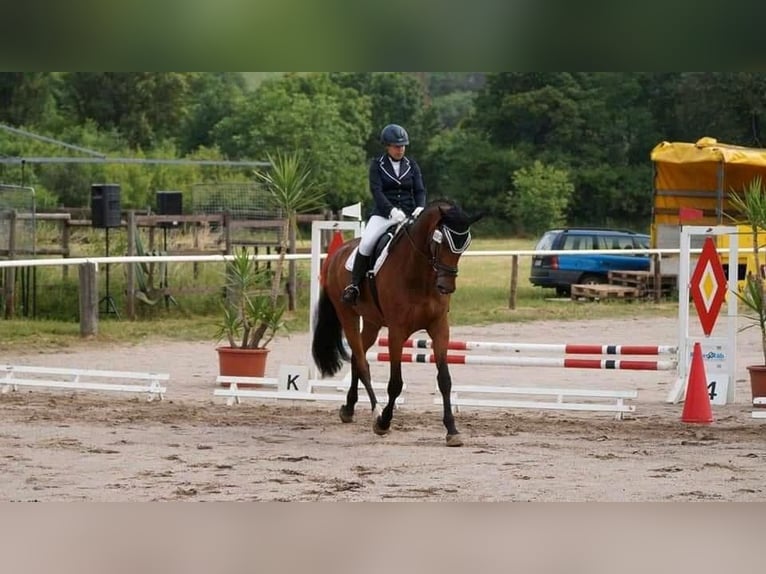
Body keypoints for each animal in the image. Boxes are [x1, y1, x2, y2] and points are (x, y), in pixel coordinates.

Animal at [310, 200, 480, 448]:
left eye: (464, 246)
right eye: (440, 241)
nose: (446, 287)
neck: (420, 274)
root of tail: (337, 254)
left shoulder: (440, 327)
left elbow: (445, 380)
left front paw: (452, 430)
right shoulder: (397, 332)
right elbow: (396, 383)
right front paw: (384, 422)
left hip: (371, 322)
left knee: (357, 357)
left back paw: (349, 408)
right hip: (347, 315)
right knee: (362, 362)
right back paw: (375, 411)